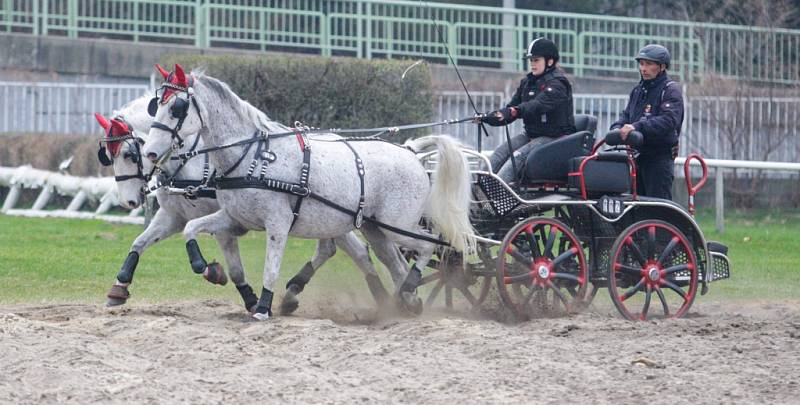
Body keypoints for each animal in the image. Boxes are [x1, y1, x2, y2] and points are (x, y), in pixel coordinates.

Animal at [97, 94, 396, 312]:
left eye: (129, 154)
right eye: (108, 157)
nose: (129, 201)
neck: (195, 161)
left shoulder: (227, 222)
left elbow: (235, 269)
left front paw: (242, 292)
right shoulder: (173, 216)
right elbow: (139, 243)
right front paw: (119, 287)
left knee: (356, 251)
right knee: (343, 250)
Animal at [142, 64, 476, 318]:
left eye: (177, 107)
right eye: (156, 105)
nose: (149, 152)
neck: (254, 156)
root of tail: (410, 150)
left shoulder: (277, 224)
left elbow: (271, 267)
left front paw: (262, 308)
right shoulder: (235, 219)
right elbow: (191, 229)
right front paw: (207, 268)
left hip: (398, 226)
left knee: (428, 245)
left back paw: (408, 292)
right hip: (376, 230)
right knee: (395, 263)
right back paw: (405, 301)